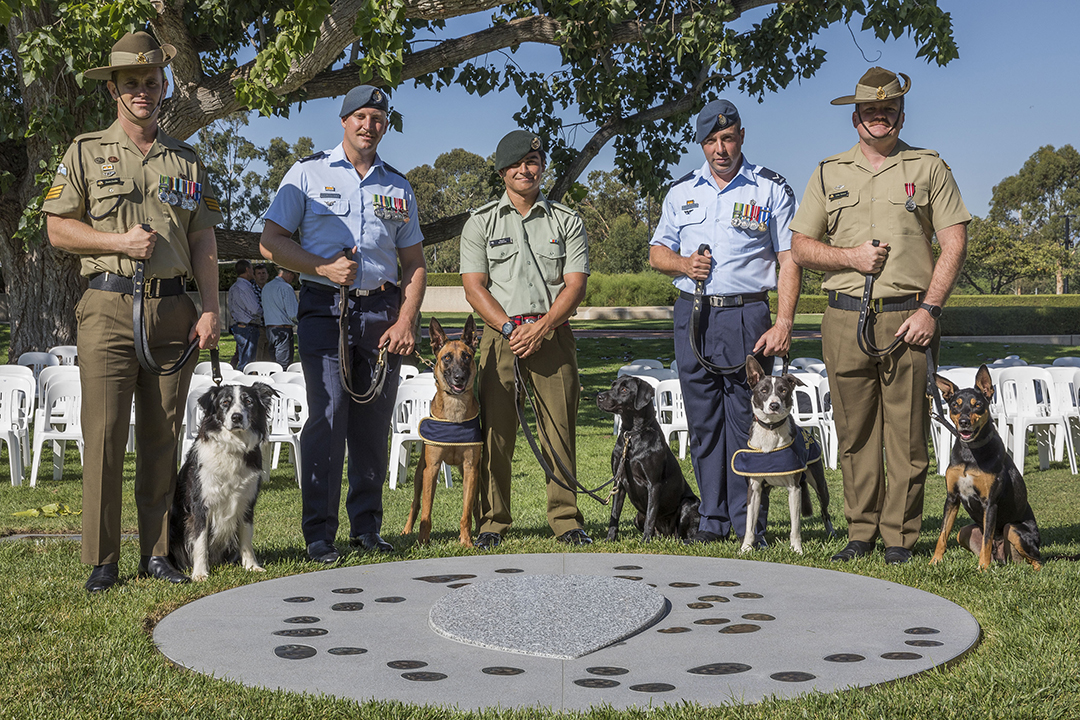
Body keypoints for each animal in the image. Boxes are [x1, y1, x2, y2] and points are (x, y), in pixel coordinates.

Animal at [168, 382, 278, 578]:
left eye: (248, 401)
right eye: (225, 402)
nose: (236, 417)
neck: (232, 447)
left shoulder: (246, 502)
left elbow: (246, 538)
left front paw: (251, 566)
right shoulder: (199, 504)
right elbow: (200, 541)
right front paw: (200, 573)